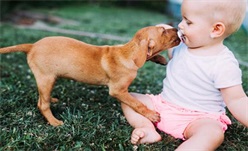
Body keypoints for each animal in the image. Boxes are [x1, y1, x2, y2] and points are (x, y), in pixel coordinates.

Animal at [0, 26, 179, 126]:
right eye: (163, 30)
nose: (177, 29)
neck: (128, 52)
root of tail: (32, 46)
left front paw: (160, 58)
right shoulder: (118, 91)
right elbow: (137, 103)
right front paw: (150, 114)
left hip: (48, 79)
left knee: (42, 98)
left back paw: (52, 99)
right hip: (46, 78)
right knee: (42, 105)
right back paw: (54, 122)